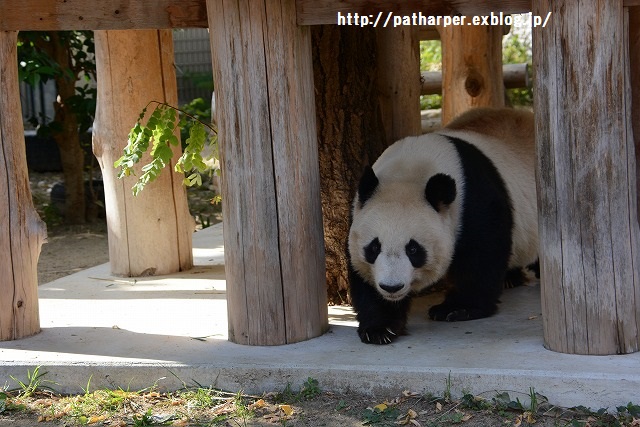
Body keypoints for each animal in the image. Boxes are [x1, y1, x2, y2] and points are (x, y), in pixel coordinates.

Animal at [348, 107, 536, 344]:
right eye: (374, 247)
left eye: (413, 249)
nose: (392, 287)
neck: (410, 171)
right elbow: (362, 274)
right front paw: (380, 327)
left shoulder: (474, 204)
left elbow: (483, 254)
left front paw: (456, 308)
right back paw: (511, 278)